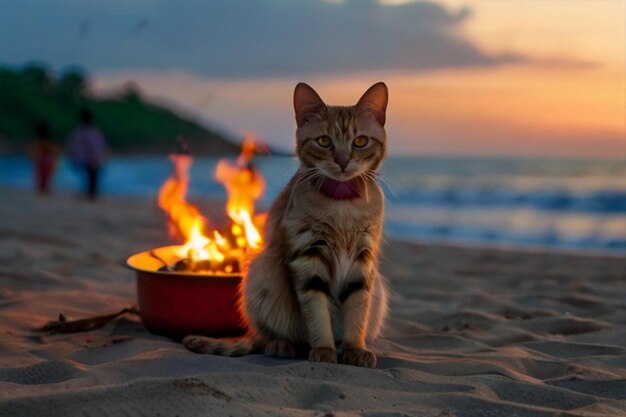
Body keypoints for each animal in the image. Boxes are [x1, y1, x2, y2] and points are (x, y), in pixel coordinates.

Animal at [180, 81, 388, 368]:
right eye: (324, 141)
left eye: (360, 142)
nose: (343, 161)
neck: (342, 206)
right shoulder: (307, 258)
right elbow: (316, 312)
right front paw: (323, 349)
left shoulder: (363, 262)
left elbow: (357, 311)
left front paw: (355, 349)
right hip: (262, 271)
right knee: (265, 336)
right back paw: (281, 345)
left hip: (378, 288)